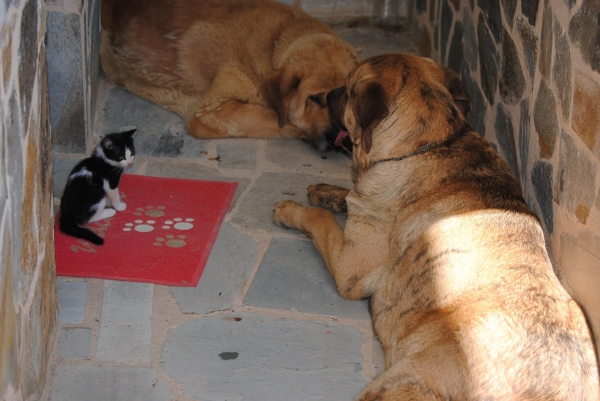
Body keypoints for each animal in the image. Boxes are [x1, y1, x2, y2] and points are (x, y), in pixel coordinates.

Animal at [274, 54, 600, 400]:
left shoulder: (350, 266)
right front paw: (324, 191)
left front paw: (291, 210)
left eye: (348, 90)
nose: (327, 95)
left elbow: (320, 219)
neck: (431, 143)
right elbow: (346, 197)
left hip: (398, 380)